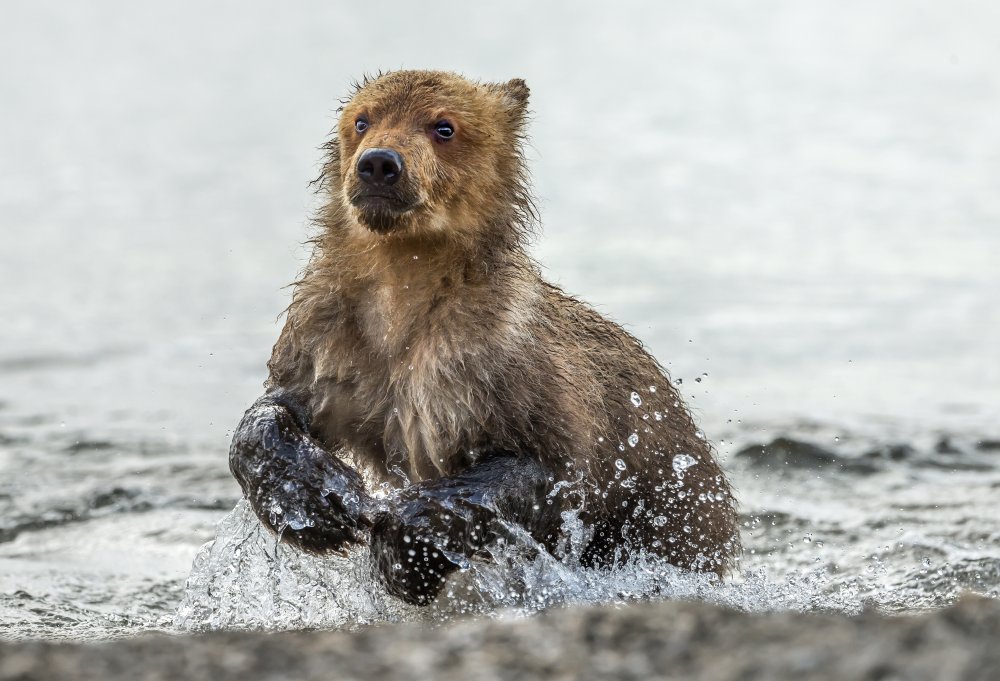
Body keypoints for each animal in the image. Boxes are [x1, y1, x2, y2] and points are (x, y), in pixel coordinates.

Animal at [230, 67, 740, 600]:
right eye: (362, 120)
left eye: (444, 127)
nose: (379, 164)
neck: (402, 290)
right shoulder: (334, 339)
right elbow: (279, 406)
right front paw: (317, 495)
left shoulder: (495, 359)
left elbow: (545, 469)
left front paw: (406, 540)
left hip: (676, 506)